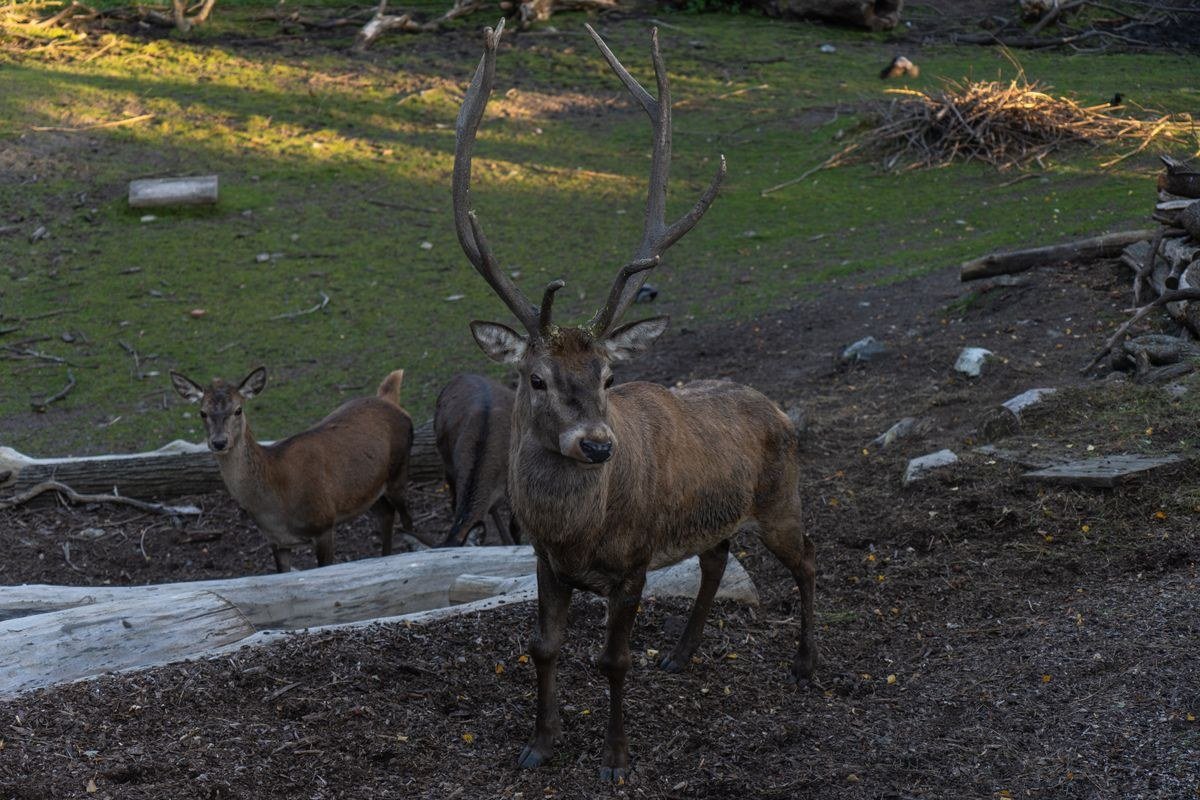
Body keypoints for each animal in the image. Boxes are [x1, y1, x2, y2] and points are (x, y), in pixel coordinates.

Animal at [169, 367, 415, 572]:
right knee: (386, 513)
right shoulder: (277, 541)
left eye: (238, 409)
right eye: (202, 412)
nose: (219, 442)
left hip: (399, 470)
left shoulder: (324, 524)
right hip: (367, 492)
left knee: (407, 518)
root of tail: (390, 399)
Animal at [452, 20, 816, 783]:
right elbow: (544, 648)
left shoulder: (635, 563)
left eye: (608, 376)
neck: (579, 532)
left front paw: (616, 758)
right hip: (718, 515)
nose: (597, 444)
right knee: (715, 557)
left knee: (807, 558)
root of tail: (777, 408)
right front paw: (539, 744)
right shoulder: (544, 562)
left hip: (781, 498)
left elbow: (614, 661)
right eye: (535, 378)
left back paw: (808, 663)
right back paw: (681, 653)